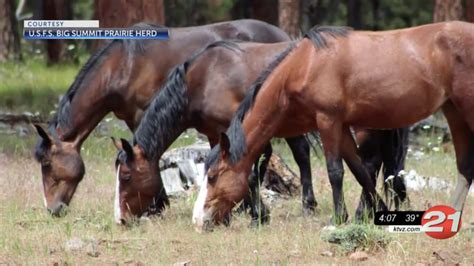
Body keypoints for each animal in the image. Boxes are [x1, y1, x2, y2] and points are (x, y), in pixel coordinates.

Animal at [114, 40, 408, 224]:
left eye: (126, 177)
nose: (121, 219)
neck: (204, 78)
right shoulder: (218, 134)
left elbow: (251, 173)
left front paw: (254, 213)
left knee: (369, 164)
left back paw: (359, 213)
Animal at [193, 21, 474, 233]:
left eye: (213, 176)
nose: (198, 221)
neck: (306, 63)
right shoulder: (343, 127)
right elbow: (360, 171)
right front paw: (377, 213)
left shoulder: (328, 121)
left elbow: (335, 171)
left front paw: (338, 218)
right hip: (453, 111)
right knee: (464, 167)